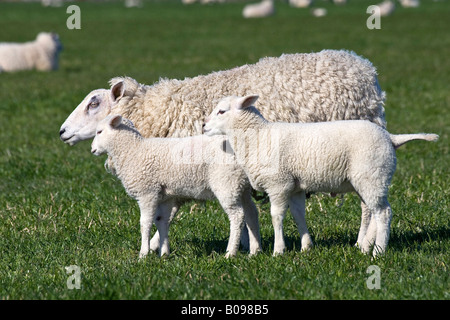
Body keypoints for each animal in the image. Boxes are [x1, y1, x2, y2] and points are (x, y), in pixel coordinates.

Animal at [90, 115, 260, 258]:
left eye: (99, 131)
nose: (92, 150)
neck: (132, 150)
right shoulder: (165, 196)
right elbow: (161, 220)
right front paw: (164, 254)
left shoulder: (147, 192)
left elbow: (145, 223)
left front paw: (143, 254)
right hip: (241, 184)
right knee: (251, 212)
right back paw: (255, 250)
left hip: (226, 182)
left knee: (237, 216)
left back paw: (230, 253)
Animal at [204, 94, 440, 256]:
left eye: (221, 111)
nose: (204, 126)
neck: (259, 136)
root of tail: (391, 137)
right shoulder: (295, 186)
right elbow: (298, 214)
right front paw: (306, 247)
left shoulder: (279, 184)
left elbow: (276, 216)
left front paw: (279, 250)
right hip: (370, 179)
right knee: (374, 211)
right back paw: (364, 247)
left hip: (372, 175)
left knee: (383, 213)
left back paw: (378, 251)